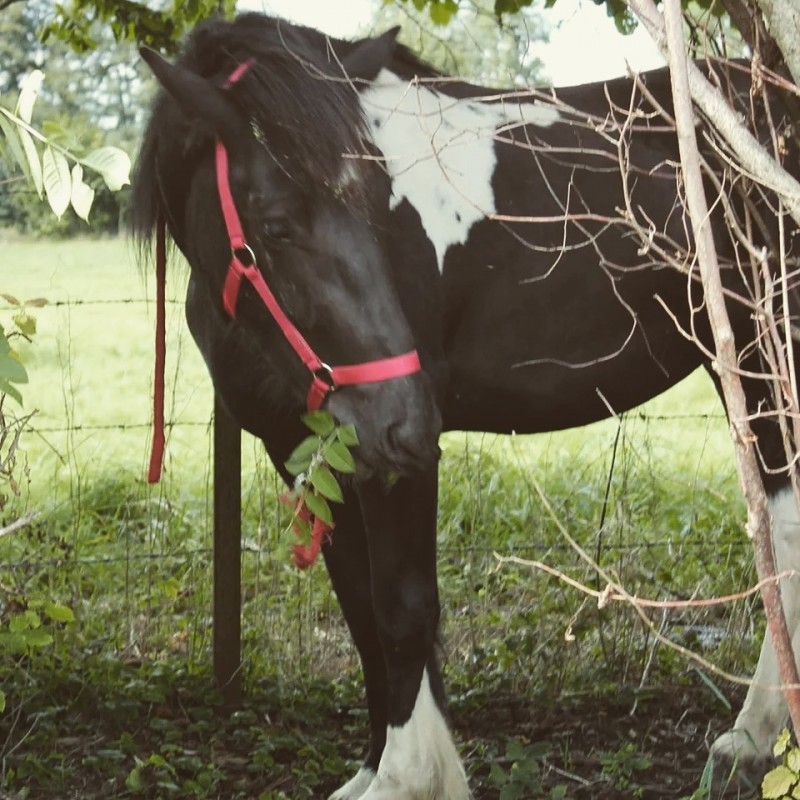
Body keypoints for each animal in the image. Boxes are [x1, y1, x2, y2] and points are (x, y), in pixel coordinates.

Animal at [133, 14, 800, 800]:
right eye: (274, 226)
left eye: (377, 209)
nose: (410, 415)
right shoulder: (309, 448)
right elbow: (362, 610)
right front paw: (376, 767)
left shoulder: (388, 454)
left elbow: (402, 608)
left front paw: (410, 777)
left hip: (767, 360)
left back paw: (749, 741)